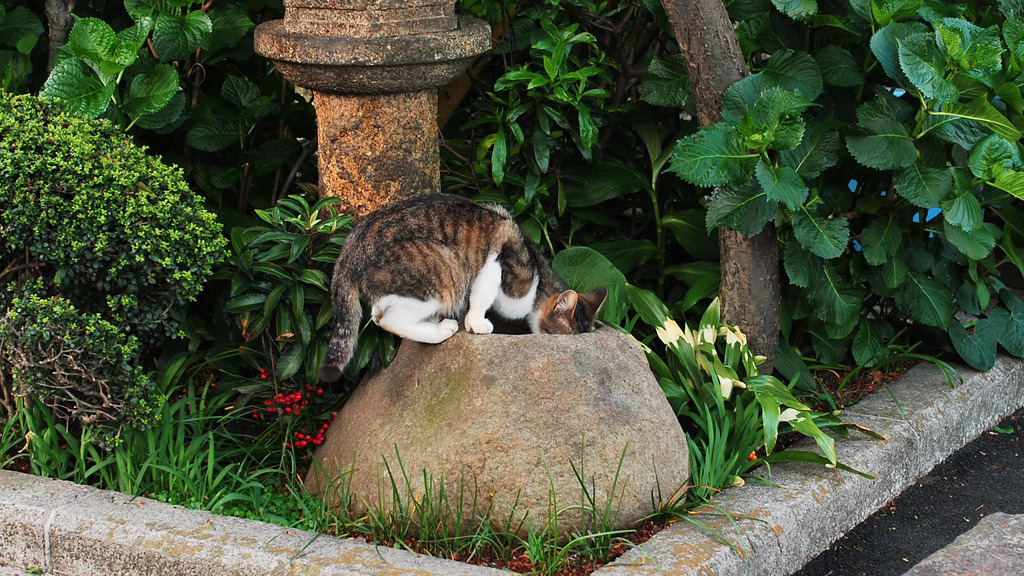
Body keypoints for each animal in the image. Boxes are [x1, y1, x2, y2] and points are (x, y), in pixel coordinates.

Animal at [317, 193, 606, 381]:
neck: (539, 273)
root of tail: (347, 256)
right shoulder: (498, 261)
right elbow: (483, 294)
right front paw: (477, 324)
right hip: (445, 271)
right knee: (389, 319)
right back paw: (441, 330)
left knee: (379, 314)